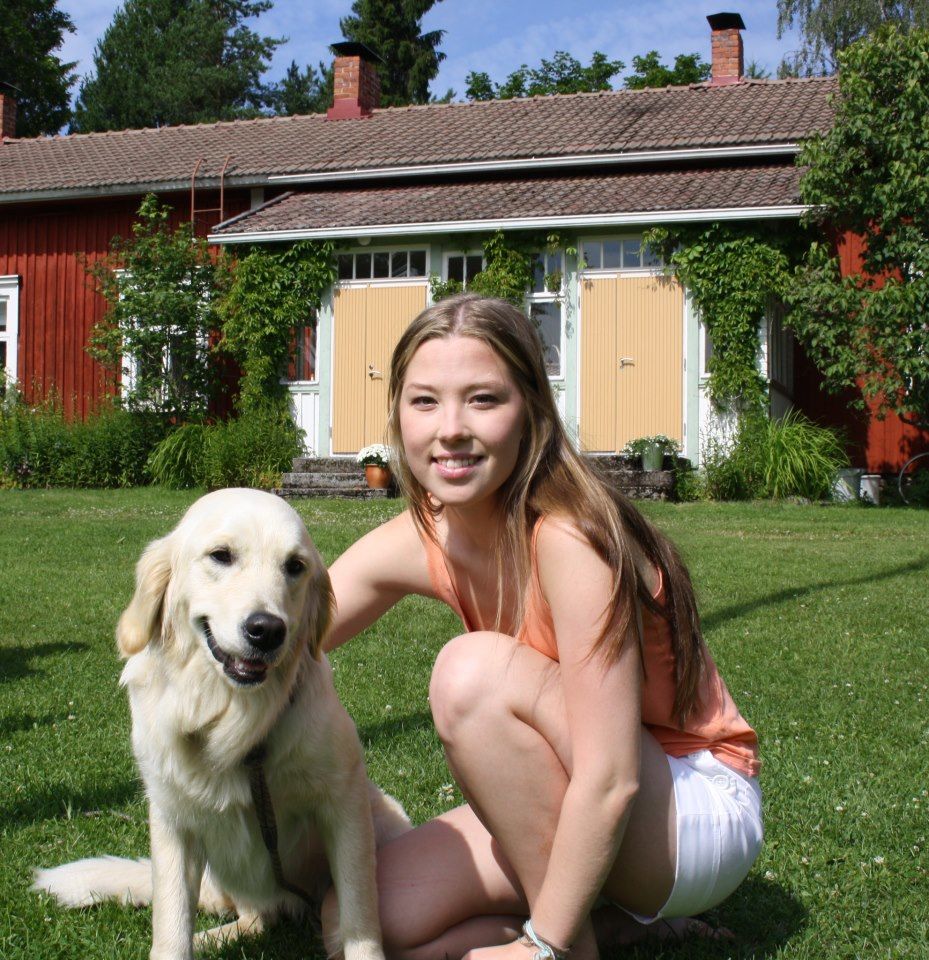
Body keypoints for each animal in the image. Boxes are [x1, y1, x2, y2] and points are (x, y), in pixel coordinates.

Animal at [33, 488, 410, 960]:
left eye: (295, 566)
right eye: (221, 555)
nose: (267, 630)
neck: (233, 716)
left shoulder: (344, 804)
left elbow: (359, 915)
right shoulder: (172, 820)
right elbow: (171, 922)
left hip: (389, 819)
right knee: (254, 917)